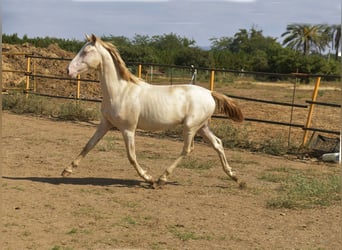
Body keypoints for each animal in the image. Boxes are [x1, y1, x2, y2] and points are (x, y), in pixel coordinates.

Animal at [60, 34, 243, 188]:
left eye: (86, 51)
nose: (68, 70)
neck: (120, 91)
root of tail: (210, 93)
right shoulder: (105, 123)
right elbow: (89, 145)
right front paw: (67, 170)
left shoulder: (128, 129)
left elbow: (131, 156)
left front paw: (148, 178)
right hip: (202, 127)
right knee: (217, 143)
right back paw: (236, 178)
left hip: (191, 127)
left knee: (188, 149)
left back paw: (161, 179)